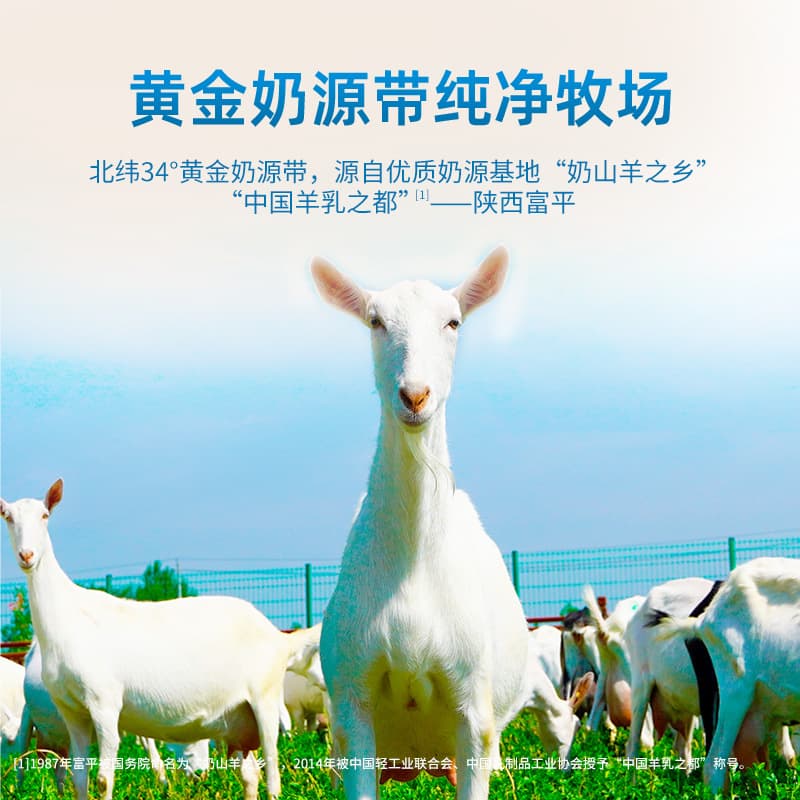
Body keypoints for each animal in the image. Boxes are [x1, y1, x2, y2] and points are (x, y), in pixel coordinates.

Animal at [0, 480, 310, 800]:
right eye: (7, 517)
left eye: (45, 516)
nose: (27, 556)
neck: (69, 615)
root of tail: (276, 636)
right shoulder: (72, 711)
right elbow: (79, 778)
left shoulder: (104, 702)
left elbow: (104, 779)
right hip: (237, 717)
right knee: (250, 775)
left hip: (265, 697)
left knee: (272, 771)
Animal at [313, 247, 532, 800]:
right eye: (375, 321)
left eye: (453, 321)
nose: (414, 396)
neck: (413, 568)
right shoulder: (353, 703)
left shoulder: (474, 712)